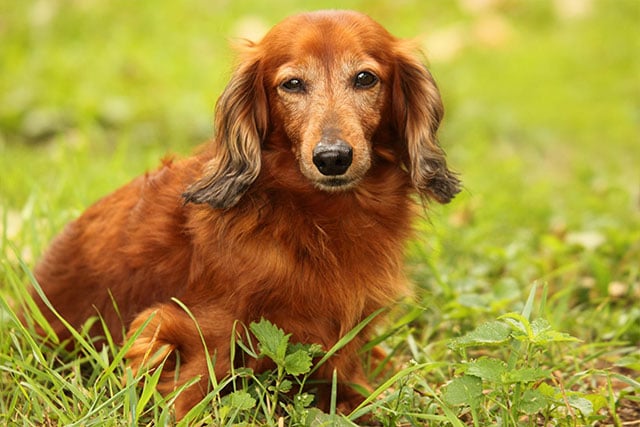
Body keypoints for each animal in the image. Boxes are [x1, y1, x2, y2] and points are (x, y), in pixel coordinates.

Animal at [30, 9, 460, 418]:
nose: (332, 158)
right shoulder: (195, 323)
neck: (315, 214)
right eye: (292, 84)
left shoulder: (347, 328)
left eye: (365, 78)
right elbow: (194, 386)